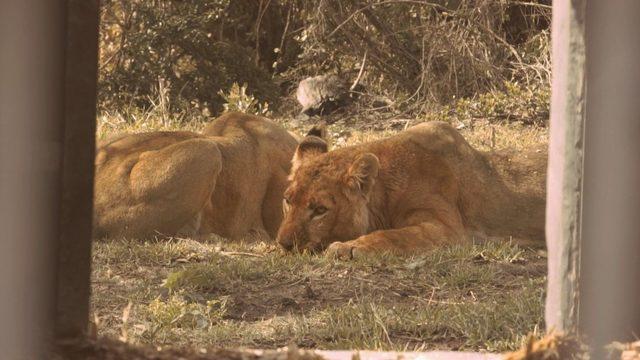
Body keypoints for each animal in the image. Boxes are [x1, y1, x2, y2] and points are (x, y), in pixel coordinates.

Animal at [276, 122, 544, 258]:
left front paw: (348, 248)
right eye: (287, 200)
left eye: (320, 210)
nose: (284, 244)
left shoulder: (448, 230)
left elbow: (394, 235)